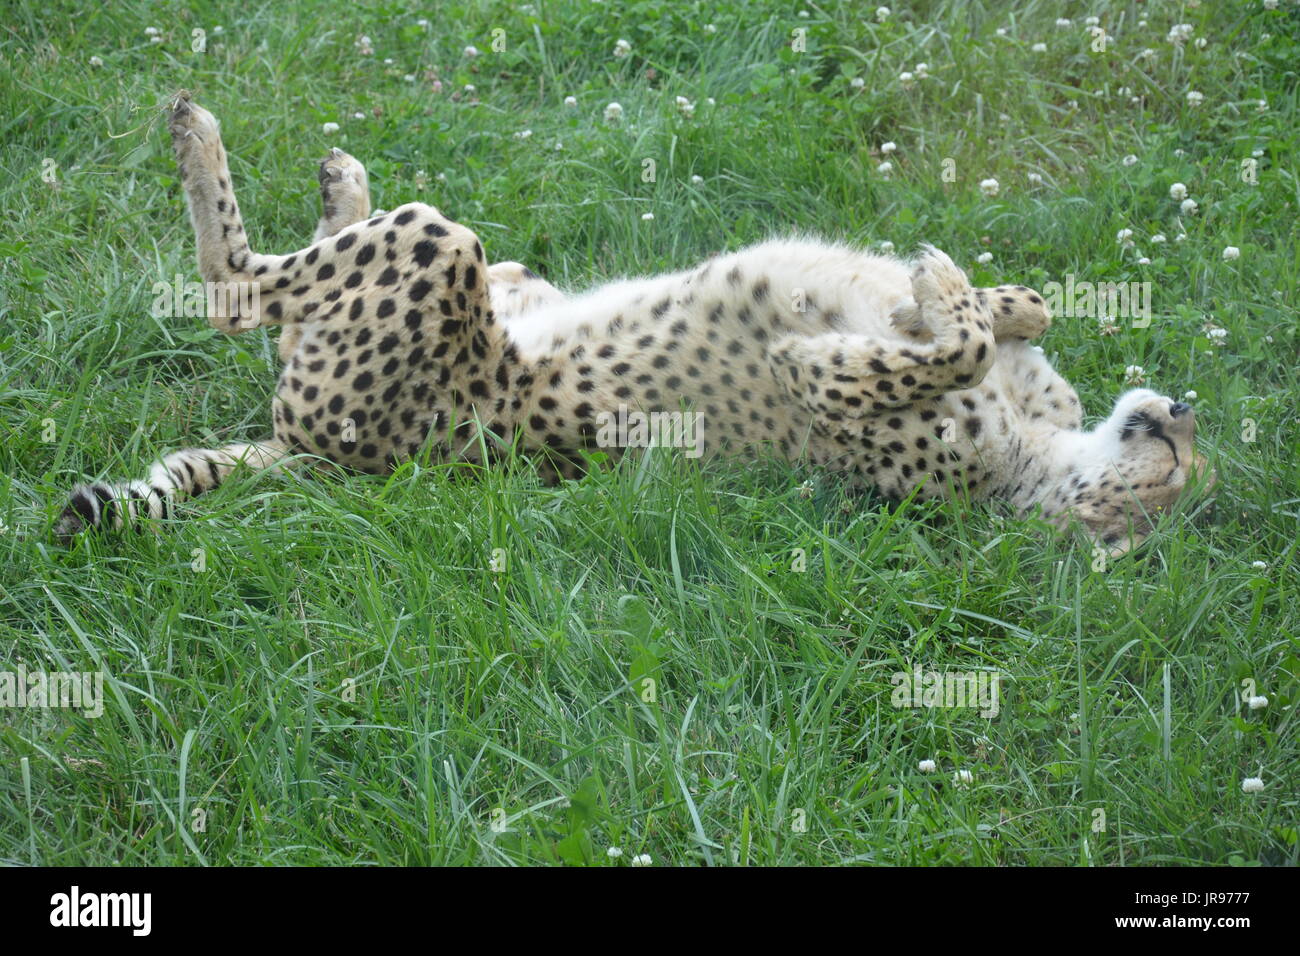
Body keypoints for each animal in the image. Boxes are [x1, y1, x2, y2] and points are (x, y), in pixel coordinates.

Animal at [55, 93, 1211, 556]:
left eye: (1170, 486)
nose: (1184, 414)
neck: (1041, 459)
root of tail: (327, 458)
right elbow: (1018, 311)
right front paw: (954, 287)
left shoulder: (824, 385)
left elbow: (936, 345)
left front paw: (938, 293)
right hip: (473, 268)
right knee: (302, 286)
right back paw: (340, 177)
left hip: (437, 251)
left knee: (231, 287)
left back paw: (198, 130)